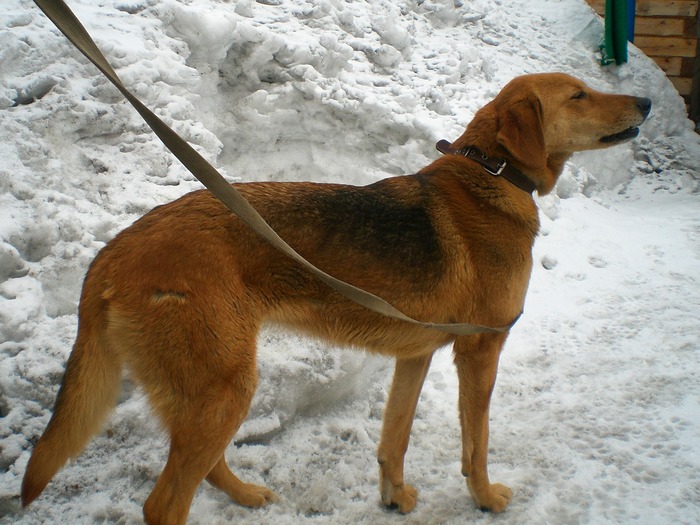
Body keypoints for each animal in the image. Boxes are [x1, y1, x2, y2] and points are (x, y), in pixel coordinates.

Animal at [20, 71, 652, 520]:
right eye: (579, 94)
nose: (646, 101)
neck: (493, 172)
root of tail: (114, 250)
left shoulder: (415, 356)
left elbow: (394, 439)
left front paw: (395, 498)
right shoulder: (480, 351)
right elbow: (476, 445)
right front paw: (486, 499)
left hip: (211, 387)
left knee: (204, 467)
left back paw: (246, 496)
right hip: (226, 384)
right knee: (164, 502)